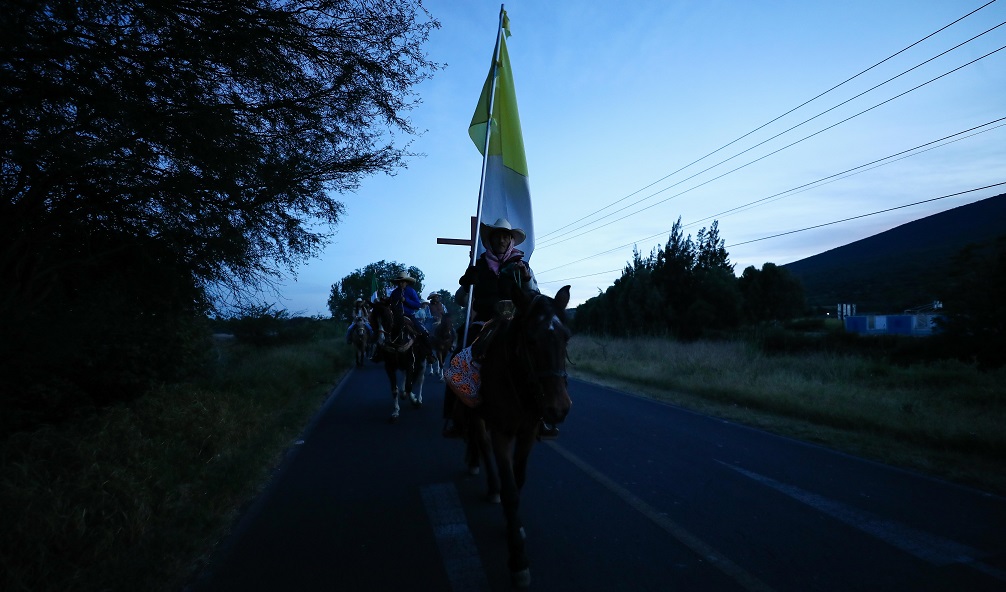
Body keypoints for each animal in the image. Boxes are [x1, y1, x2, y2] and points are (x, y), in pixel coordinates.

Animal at [458, 285, 575, 587]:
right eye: (531, 340)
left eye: (566, 337)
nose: (559, 408)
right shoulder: (502, 432)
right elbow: (510, 491)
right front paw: (518, 560)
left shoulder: (527, 432)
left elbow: (519, 481)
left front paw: (515, 526)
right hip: (477, 415)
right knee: (482, 444)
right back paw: (489, 483)